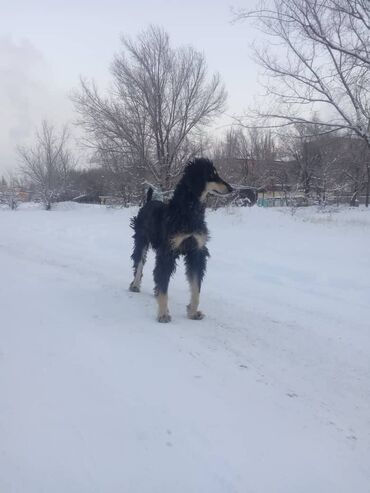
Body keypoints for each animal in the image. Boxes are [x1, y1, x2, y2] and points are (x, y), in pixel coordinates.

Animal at [128, 156, 231, 320]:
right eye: (211, 174)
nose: (231, 188)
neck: (188, 211)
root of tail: (148, 202)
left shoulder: (197, 252)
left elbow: (196, 287)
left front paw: (193, 312)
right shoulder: (167, 252)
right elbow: (163, 283)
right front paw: (163, 313)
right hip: (141, 240)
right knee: (139, 264)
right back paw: (135, 285)